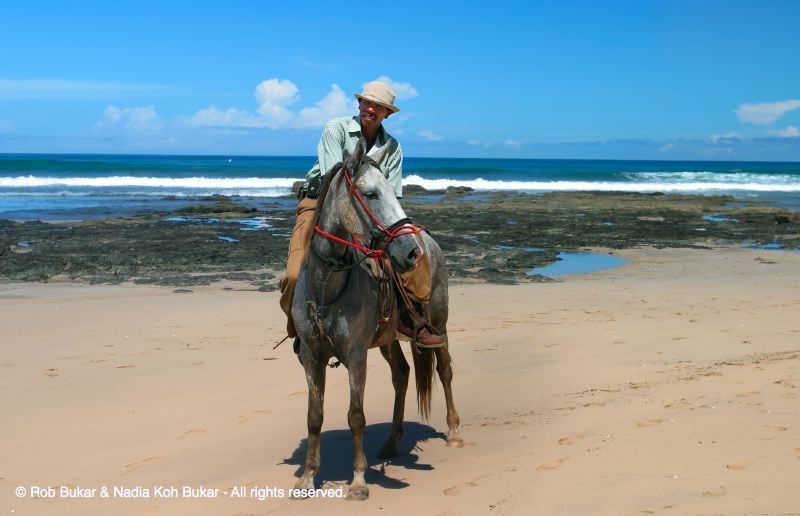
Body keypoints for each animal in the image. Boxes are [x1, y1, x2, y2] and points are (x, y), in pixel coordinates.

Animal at [290, 139, 463, 501]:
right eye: (370, 194)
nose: (411, 253)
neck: (327, 287)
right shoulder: (311, 357)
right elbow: (314, 416)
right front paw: (307, 478)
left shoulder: (356, 356)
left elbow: (356, 416)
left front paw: (358, 481)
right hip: (388, 340)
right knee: (402, 374)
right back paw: (391, 441)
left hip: (439, 323)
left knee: (444, 370)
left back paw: (454, 431)